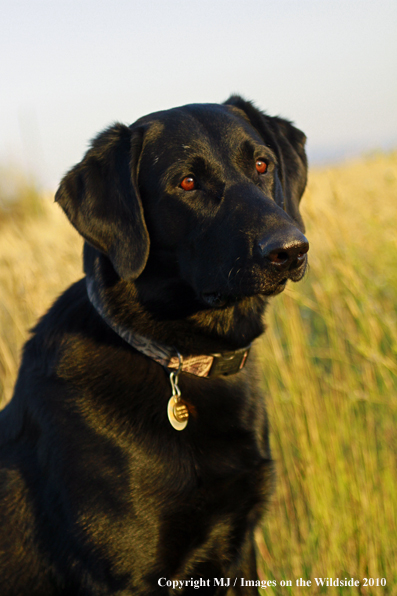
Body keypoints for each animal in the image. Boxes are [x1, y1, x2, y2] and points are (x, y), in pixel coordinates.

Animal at [0, 95, 308, 592]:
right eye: (187, 183)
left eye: (263, 164)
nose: (291, 249)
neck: (178, 357)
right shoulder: (130, 573)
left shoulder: (239, 547)